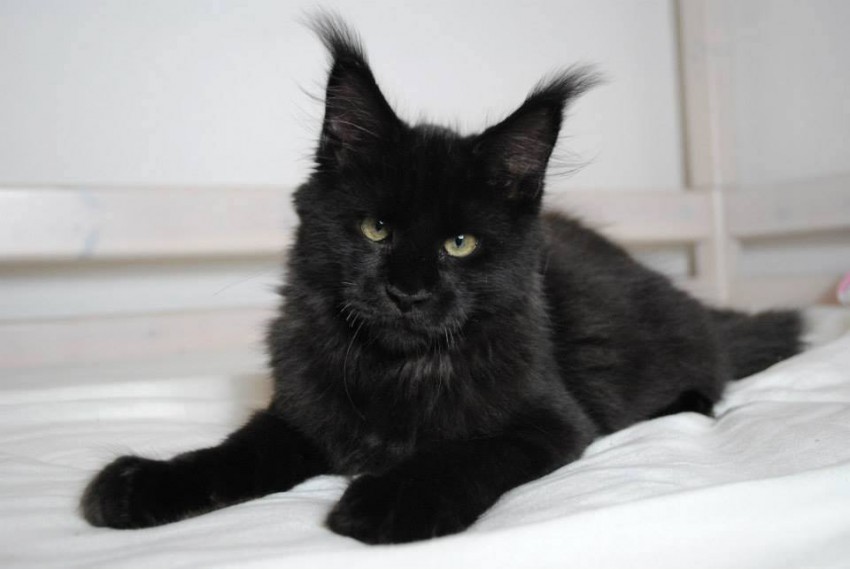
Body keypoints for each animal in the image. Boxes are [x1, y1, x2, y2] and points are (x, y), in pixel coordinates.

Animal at [76, 16, 800, 540]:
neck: (395, 371)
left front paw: (392, 497)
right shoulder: (300, 412)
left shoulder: (549, 421)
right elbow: (237, 451)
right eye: (377, 229)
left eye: (460, 243)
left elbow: (465, 452)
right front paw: (144, 482)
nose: (408, 291)